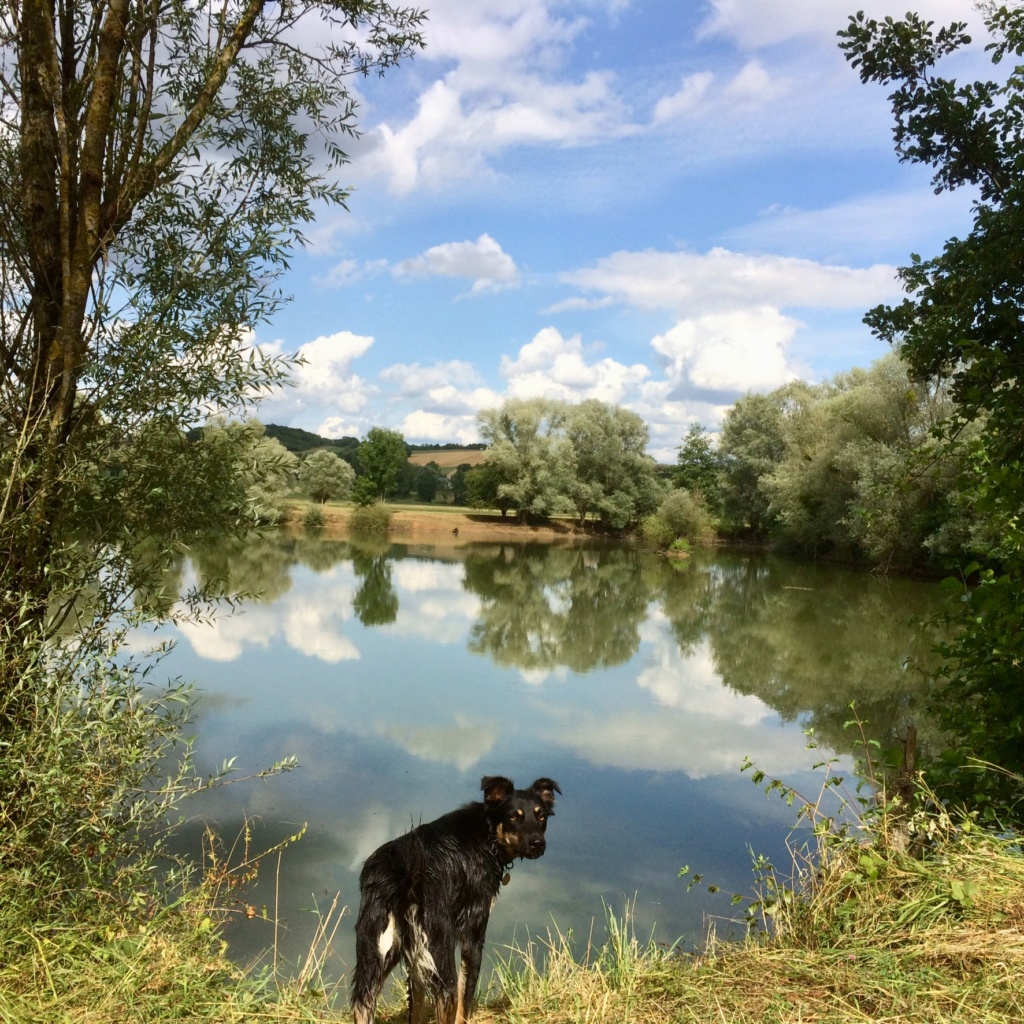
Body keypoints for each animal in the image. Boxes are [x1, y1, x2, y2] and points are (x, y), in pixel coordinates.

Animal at [352, 774, 561, 1024]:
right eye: (513, 817)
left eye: (541, 816)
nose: (538, 843)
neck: (486, 834)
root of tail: (409, 872)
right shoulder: (473, 936)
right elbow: (465, 1000)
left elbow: (417, 1006)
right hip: (439, 955)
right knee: (449, 998)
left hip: (377, 953)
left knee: (362, 1005)